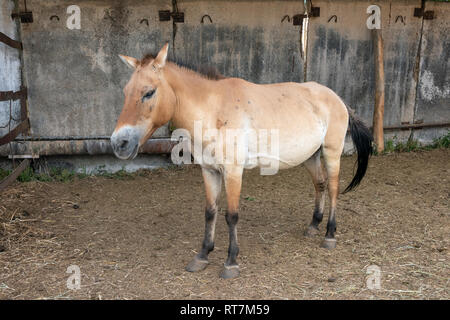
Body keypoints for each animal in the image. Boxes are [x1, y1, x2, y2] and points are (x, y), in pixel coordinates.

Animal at [111, 43, 372, 278]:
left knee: (334, 188)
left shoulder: (233, 172)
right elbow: (210, 212)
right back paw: (313, 226)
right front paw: (202, 256)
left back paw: (329, 235)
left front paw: (231, 262)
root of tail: (337, 98)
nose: (118, 143)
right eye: (125, 92)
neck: (214, 110)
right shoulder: (209, 171)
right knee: (320, 184)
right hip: (311, 156)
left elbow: (232, 215)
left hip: (331, 152)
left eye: (149, 92)